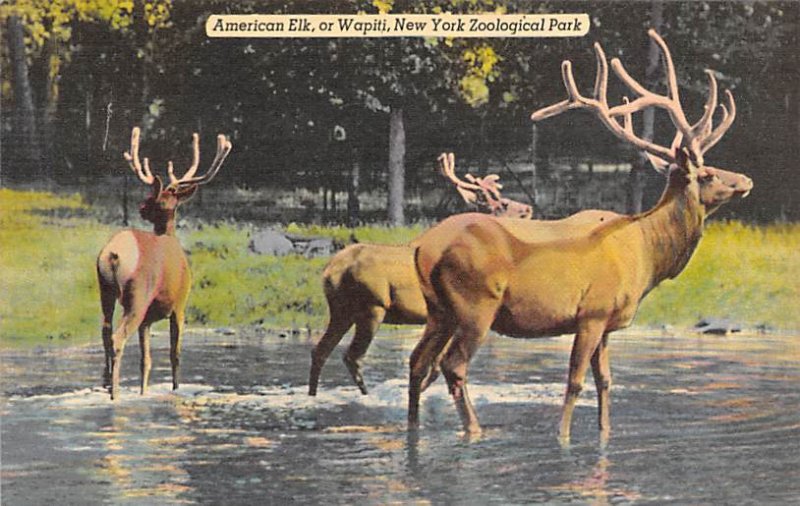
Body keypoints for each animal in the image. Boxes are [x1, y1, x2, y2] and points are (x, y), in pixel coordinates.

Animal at [96, 126, 231, 400]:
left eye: (152, 197)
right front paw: (176, 389)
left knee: (105, 333)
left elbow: (145, 361)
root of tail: (113, 254)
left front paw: (143, 392)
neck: (170, 237)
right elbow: (174, 354)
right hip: (137, 295)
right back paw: (115, 395)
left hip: (105, 290)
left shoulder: (147, 320)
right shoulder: (179, 304)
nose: (141, 208)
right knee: (117, 337)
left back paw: (108, 387)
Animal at [306, 154, 536, 396]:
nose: (528, 209)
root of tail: (330, 270)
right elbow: (434, 366)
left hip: (341, 311)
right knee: (352, 356)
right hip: (371, 308)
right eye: (502, 203)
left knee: (320, 351)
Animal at [410, 29, 752, 444]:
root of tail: (422, 247)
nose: (746, 180)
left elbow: (605, 381)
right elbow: (574, 383)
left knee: (417, 363)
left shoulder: (606, 324)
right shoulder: (592, 313)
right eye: (708, 174)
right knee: (452, 365)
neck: (646, 255)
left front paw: (605, 434)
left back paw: (414, 429)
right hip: (476, 304)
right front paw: (564, 439)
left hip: (438, 309)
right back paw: (474, 430)